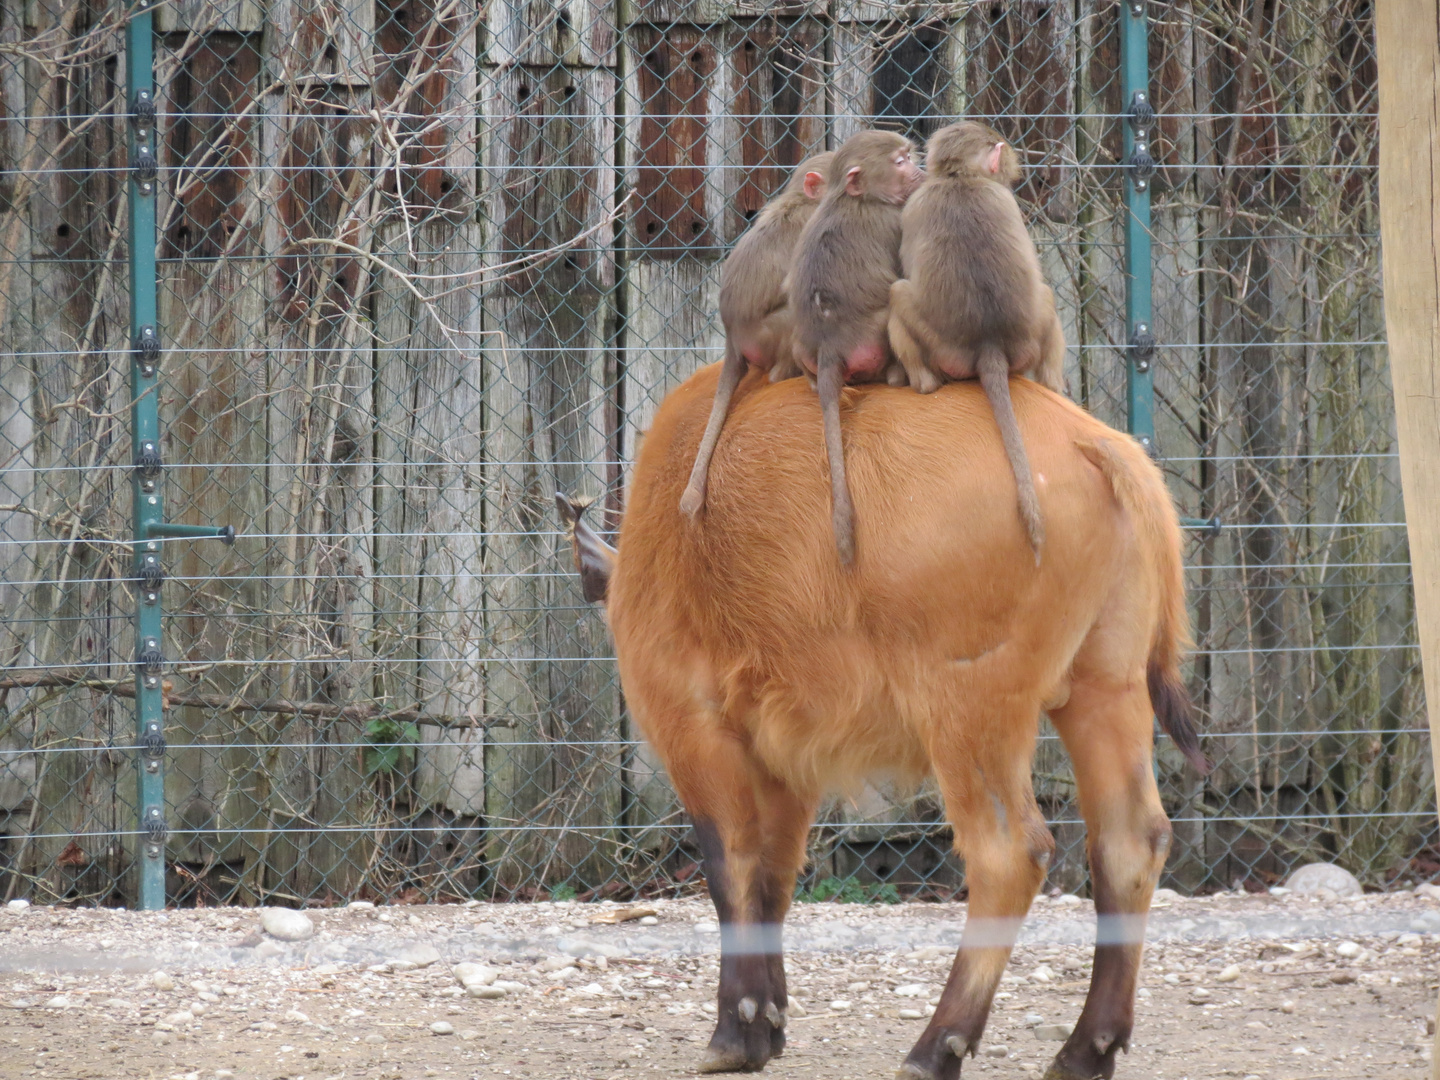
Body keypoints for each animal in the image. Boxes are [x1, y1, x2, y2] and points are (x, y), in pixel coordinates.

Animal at [555, 365, 1209, 1080]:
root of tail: (1096, 444)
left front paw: (735, 1033)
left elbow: (731, 870)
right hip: (1101, 691)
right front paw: (769, 1026)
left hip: (970, 715)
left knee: (1011, 854)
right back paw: (1086, 1048)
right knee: (1130, 842)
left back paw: (937, 1046)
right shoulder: (787, 766)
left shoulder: (696, 730)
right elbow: (773, 879)